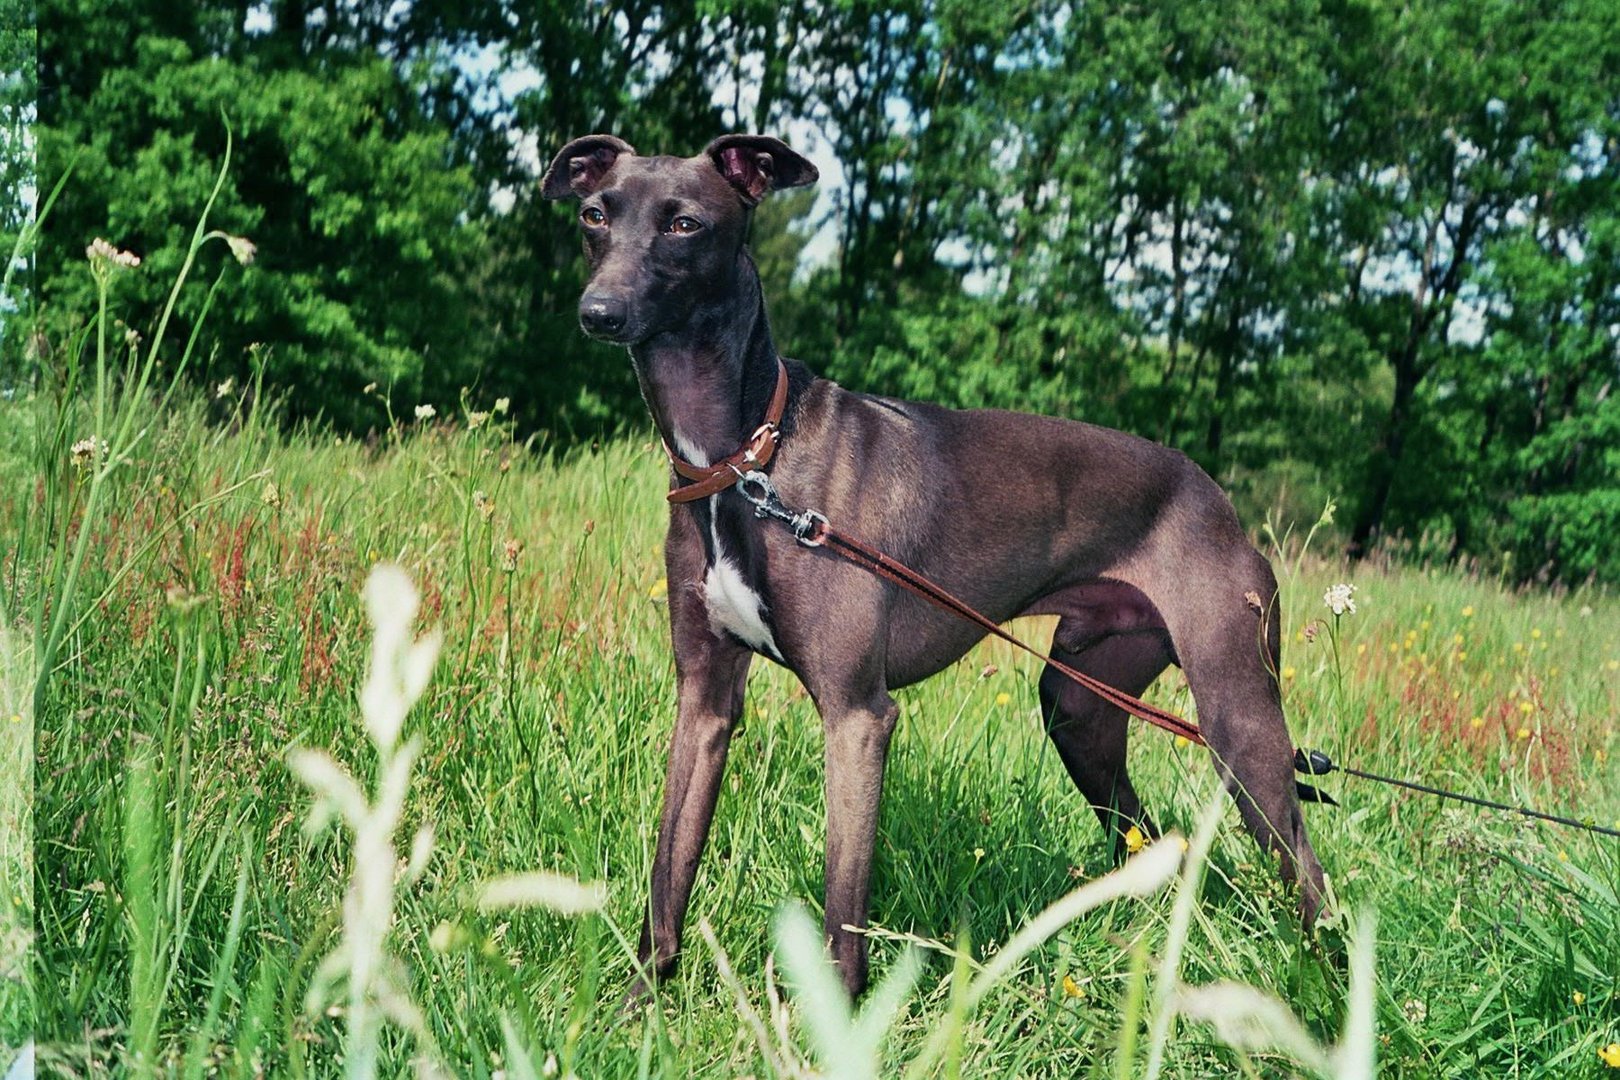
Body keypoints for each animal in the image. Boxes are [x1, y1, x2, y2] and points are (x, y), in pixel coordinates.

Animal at [544, 132, 1328, 997]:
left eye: (684, 223)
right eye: (594, 215)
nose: (599, 312)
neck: (748, 460)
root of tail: (1219, 502)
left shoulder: (858, 715)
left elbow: (843, 907)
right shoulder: (705, 697)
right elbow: (670, 864)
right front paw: (642, 1001)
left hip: (1239, 721)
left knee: (1308, 872)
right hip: (1081, 708)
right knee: (1155, 843)